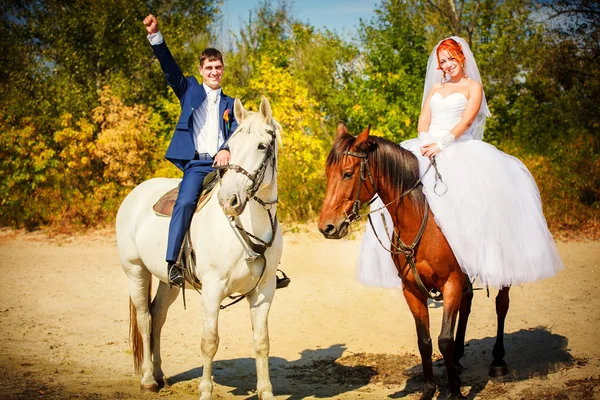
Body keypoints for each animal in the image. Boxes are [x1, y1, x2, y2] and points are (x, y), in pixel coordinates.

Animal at [118, 97, 286, 400]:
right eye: (231, 146)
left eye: (262, 146)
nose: (228, 199)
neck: (248, 225)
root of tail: (136, 193)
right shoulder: (212, 290)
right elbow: (209, 341)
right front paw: (206, 392)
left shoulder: (264, 291)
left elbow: (262, 342)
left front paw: (266, 392)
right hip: (135, 271)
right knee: (145, 318)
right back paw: (148, 379)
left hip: (169, 281)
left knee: (158, 316)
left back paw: (159, 375)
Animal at [318, 123, 510, 398]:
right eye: (328, 174)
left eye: (347, 174)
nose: (327, 227)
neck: (420, 220)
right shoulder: (411, 289)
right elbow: (425, 341)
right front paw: (430, 389)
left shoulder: (450, 283)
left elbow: (444, 339)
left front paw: (455, 391)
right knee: (467, 304)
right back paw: (459, 359)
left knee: (501, 305)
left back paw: (498, 361)